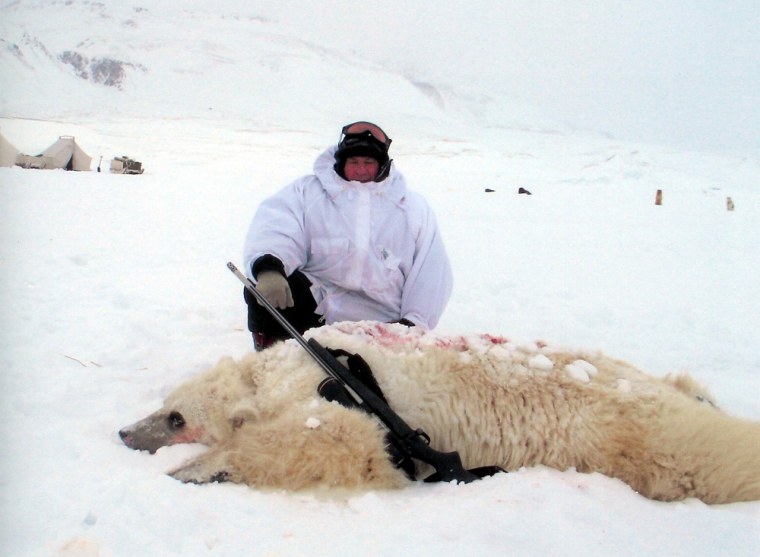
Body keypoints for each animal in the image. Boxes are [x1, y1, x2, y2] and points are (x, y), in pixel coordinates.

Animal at [119, 320, 760, 502]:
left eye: (175, 418)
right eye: (164, 405)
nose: (125, 433)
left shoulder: (332, 392)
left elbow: (344, 442)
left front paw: (198, 470)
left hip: (643, 435)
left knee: (711, 456)